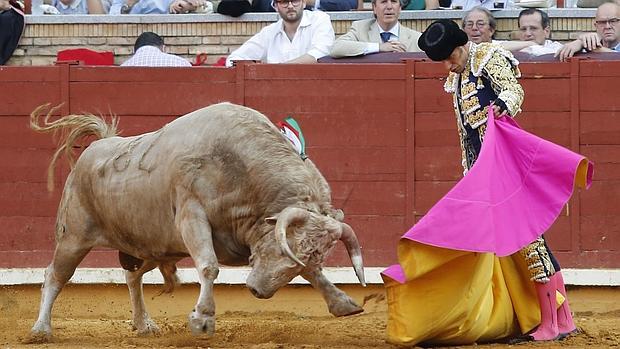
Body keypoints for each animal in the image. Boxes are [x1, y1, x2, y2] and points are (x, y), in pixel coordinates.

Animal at [29, 102, 366, 342]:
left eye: (299, 260)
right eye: (280, 250)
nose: (257, 291)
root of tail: (100, 145)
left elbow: (315, 274)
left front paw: (342, 303)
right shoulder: (192, 215)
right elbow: (208, 266)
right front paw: (202, 319)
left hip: (150, 245)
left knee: (132, 277)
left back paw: (144, 324)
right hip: (73, 237)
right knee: (55, 276)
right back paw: (41, 330)